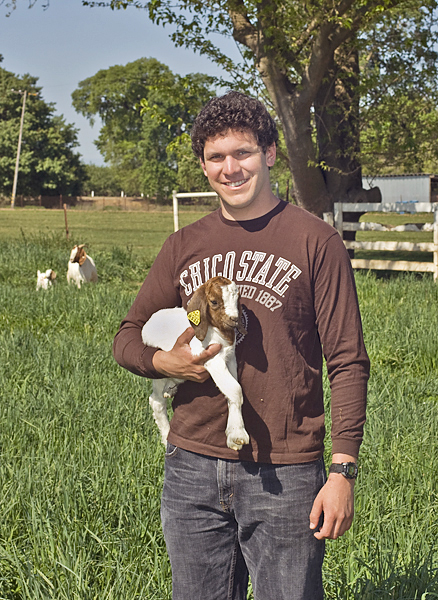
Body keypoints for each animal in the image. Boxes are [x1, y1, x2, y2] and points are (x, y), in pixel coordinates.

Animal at [141, 276, 250, 450]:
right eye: (214, 301)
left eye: (237, 299)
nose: (234, 319)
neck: (216, 331)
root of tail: (149, 322)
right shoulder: (211, 358)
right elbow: (236, 389)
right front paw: (239, 435)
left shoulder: (230, 358)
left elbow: (232, 390)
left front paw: (234, 432)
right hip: (159, 373)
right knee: (156, 401)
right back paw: (166, 436)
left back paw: (171, 389)